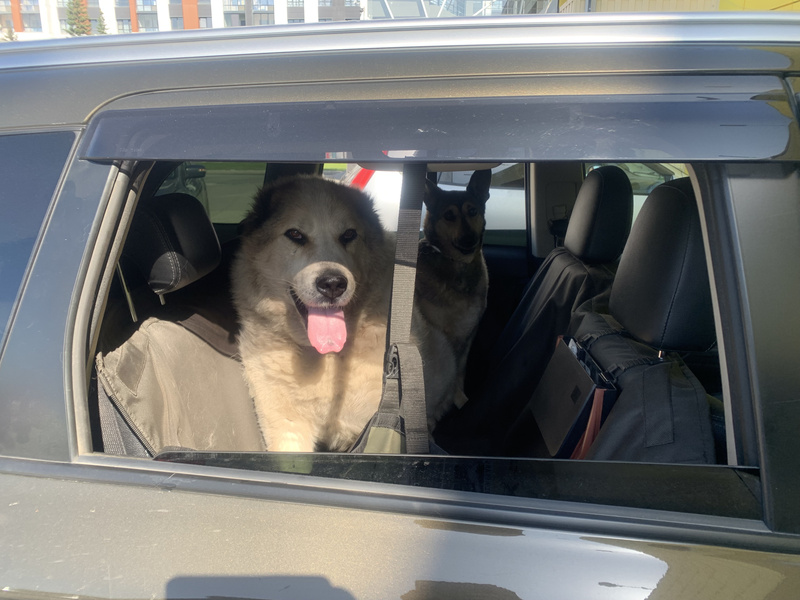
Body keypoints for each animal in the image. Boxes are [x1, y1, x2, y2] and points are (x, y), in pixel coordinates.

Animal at [412, 170, 491, 431]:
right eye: (449, 215)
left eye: (472, 211)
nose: (469, 239)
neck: (457, 266)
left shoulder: (469, 333)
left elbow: (460, 370)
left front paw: (460, 398)